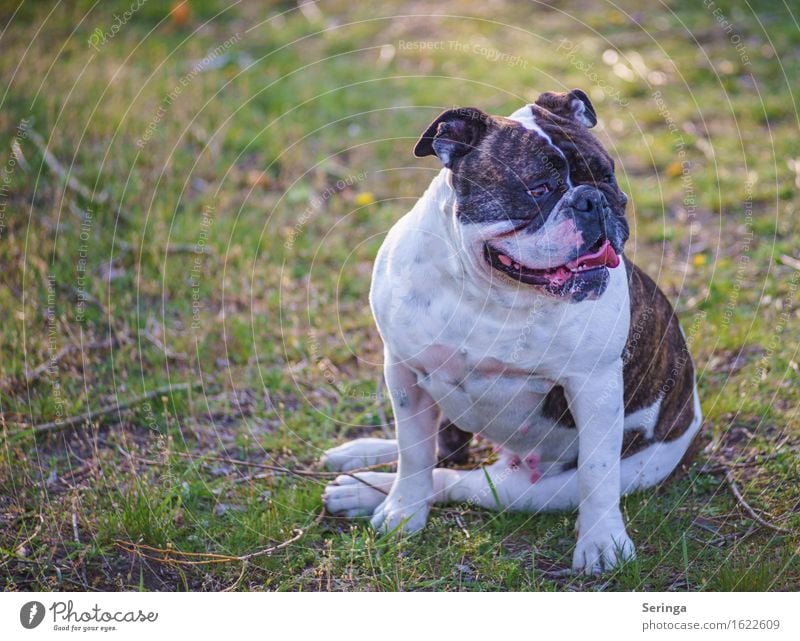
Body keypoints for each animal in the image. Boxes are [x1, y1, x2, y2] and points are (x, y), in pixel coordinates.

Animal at [318, 90, 700, 576]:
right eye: (537, 189)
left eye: (606, 176)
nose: (593, 200)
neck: (492, 293)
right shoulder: (403, 373)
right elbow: (414, 450)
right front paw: (404, 510)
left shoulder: (594, 388)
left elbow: (598, 475)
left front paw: (601, 542)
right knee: (436, 452)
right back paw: (362, 460)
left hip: (536, 489)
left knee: (459, 480)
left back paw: (359, 488)